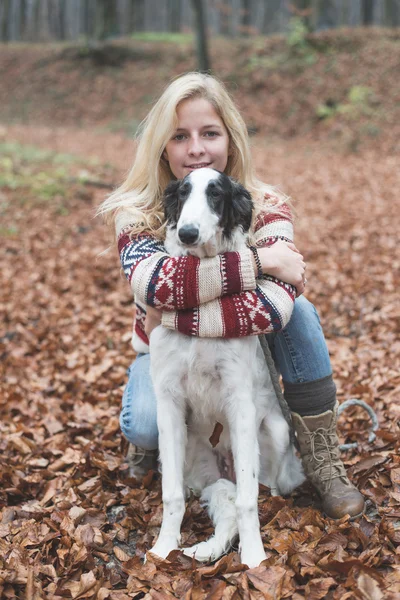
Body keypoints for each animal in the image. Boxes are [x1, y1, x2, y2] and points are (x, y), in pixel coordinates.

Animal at [149, 168, 304, 568]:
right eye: (182, 193)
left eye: (216, 194)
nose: (187, 233)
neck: (205, 313)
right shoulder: (168, 400)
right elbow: (171, 494)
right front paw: (163, 548)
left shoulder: (239, 402)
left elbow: (249, 503)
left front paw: (254, 557)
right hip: (194, 459)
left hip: (276, 433)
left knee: (260, 492)